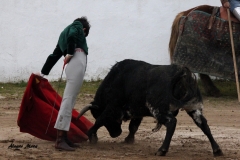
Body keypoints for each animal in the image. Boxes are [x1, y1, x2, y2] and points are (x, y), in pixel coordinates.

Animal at [78, 59, 223, 157]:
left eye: (95, 114)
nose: (115, 134)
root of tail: (182, 72)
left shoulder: (112, 108)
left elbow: (100, 120)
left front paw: (92, 136)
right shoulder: (136, 111)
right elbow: (133, 126)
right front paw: (128, 140)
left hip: (158, 109)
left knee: (171, 123)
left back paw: (162, 150)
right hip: (193, 107)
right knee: (203, 124)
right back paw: (217, 150)